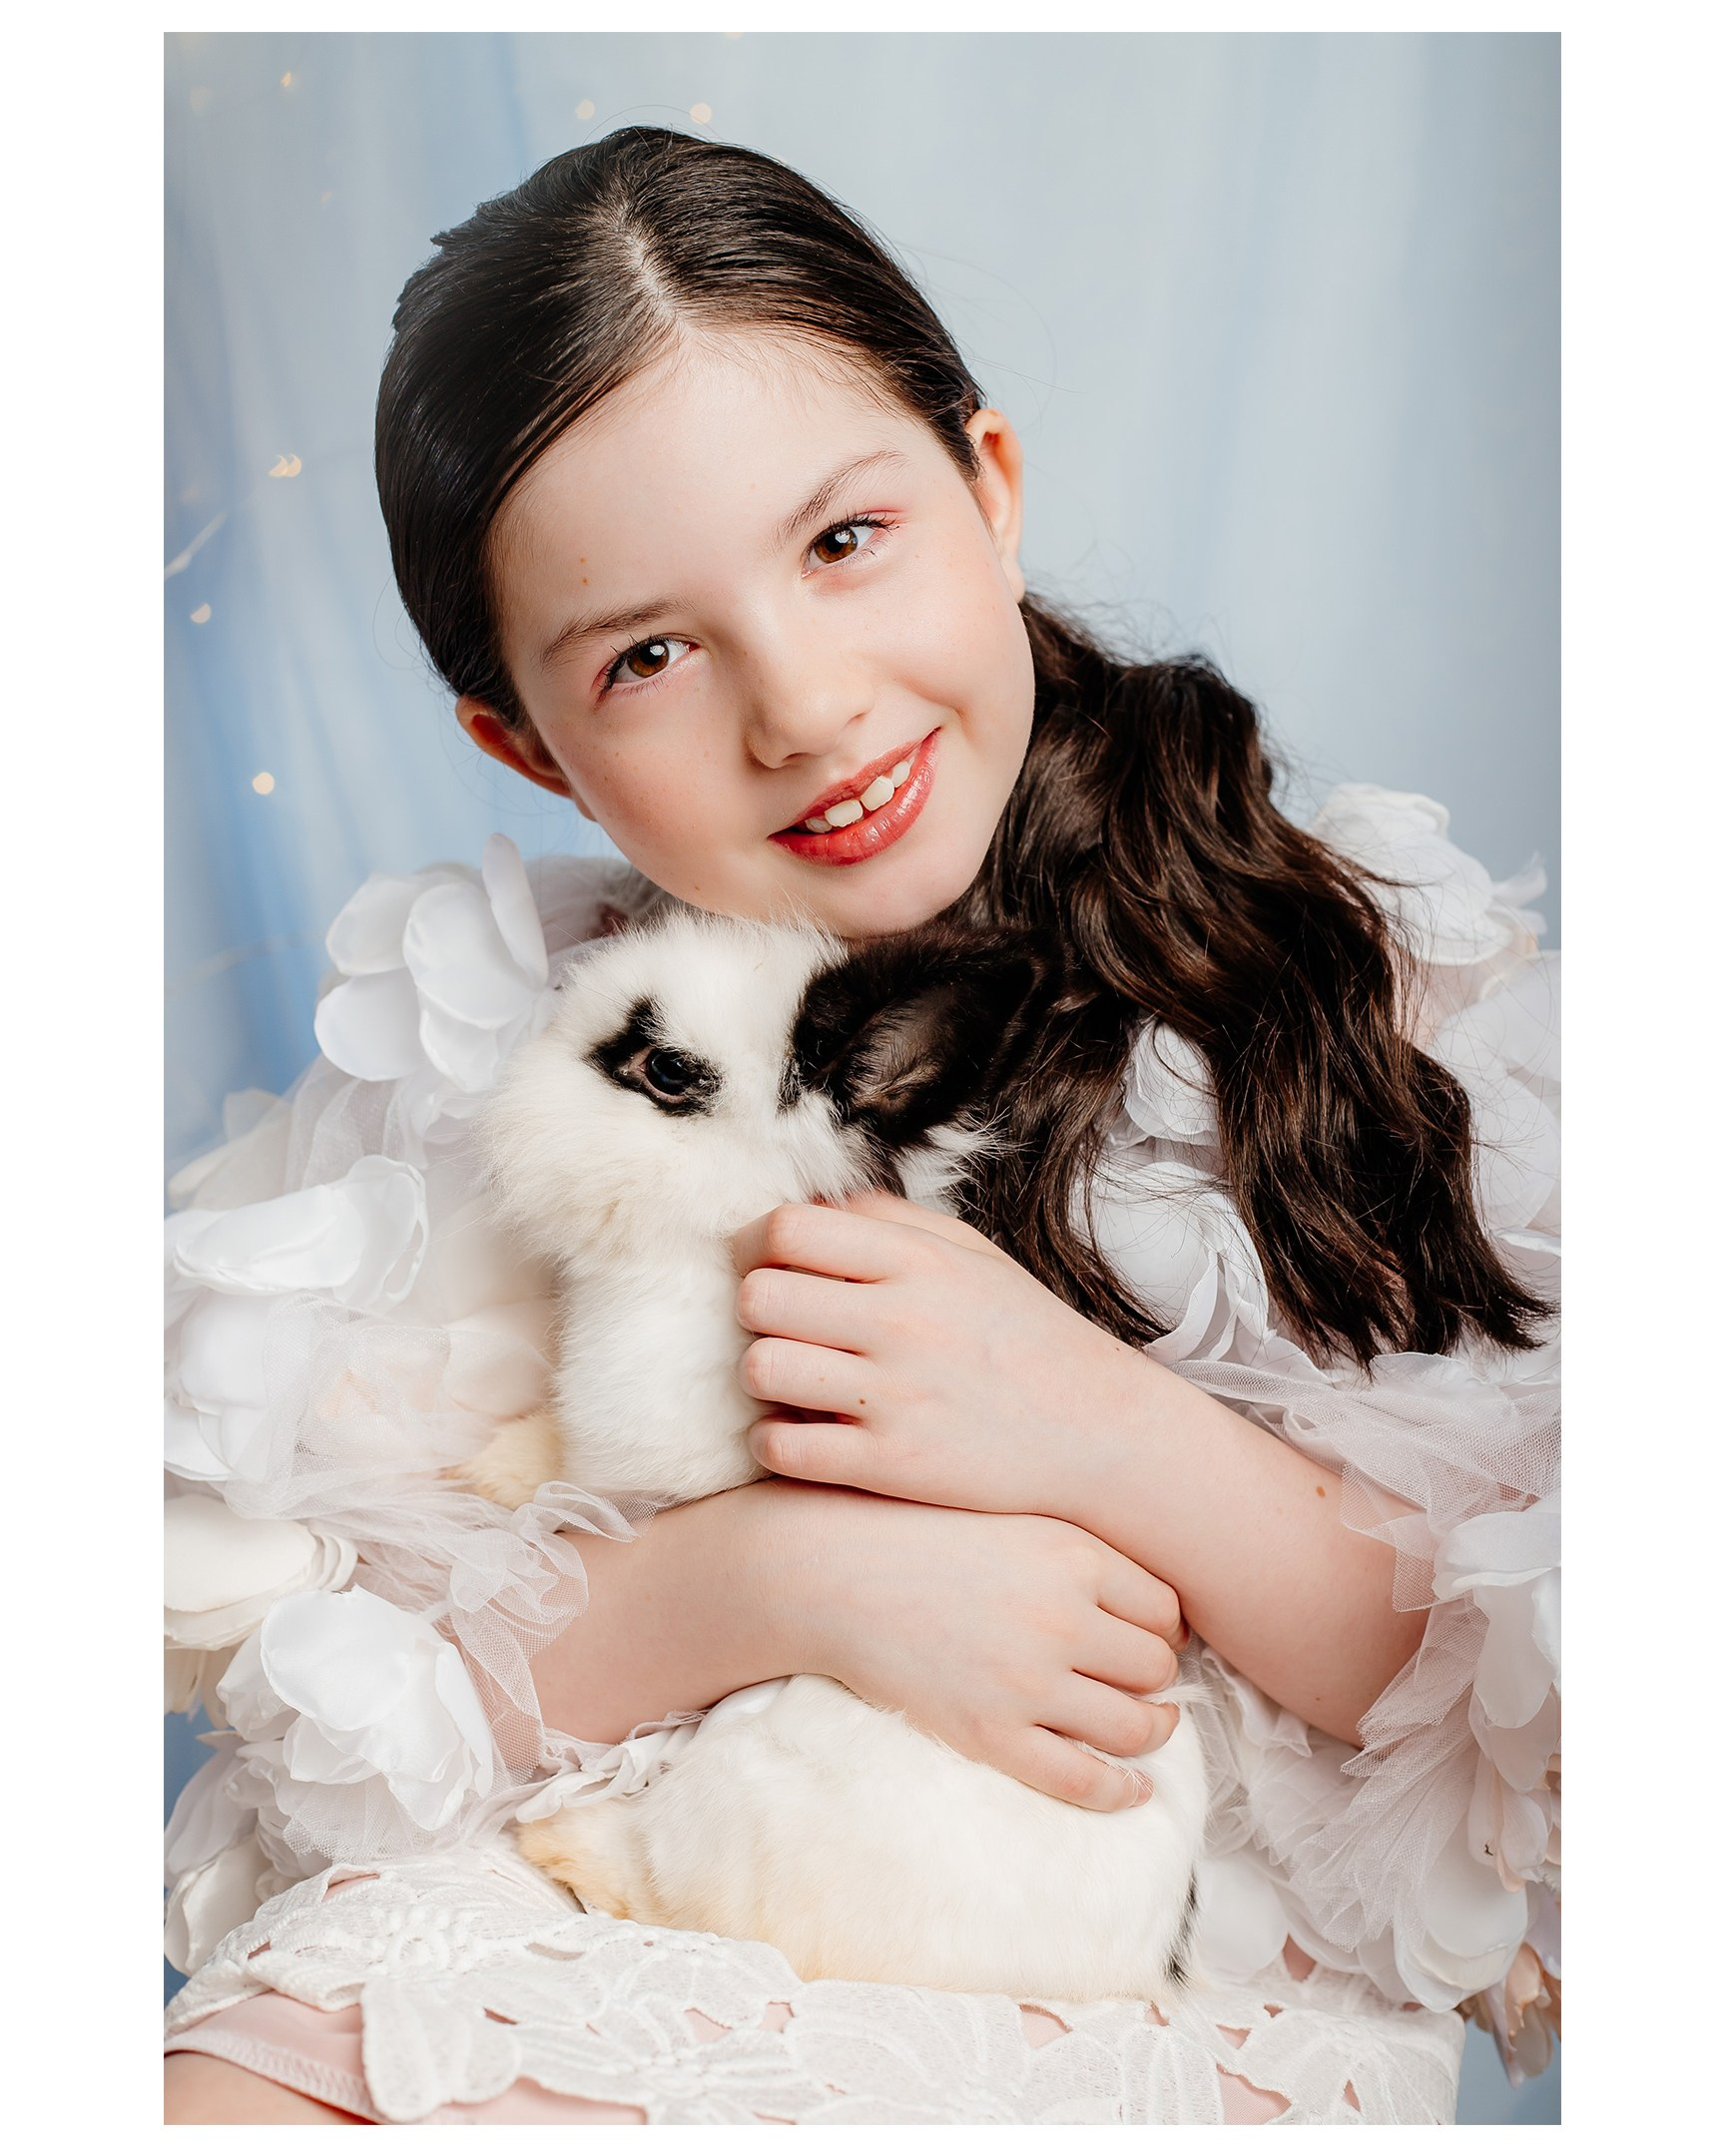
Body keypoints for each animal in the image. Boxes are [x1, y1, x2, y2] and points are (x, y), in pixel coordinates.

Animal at [460, 907, 1208, 2005]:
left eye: (666, 1069)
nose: (511, 1093)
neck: (718, 1236)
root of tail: (1119, 1987)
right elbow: (552, 1463)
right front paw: (488, 1465)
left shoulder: (646, 1471)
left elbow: (587, 1492)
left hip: (741, 1785)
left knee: (673, 1890)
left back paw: (562, 1837)